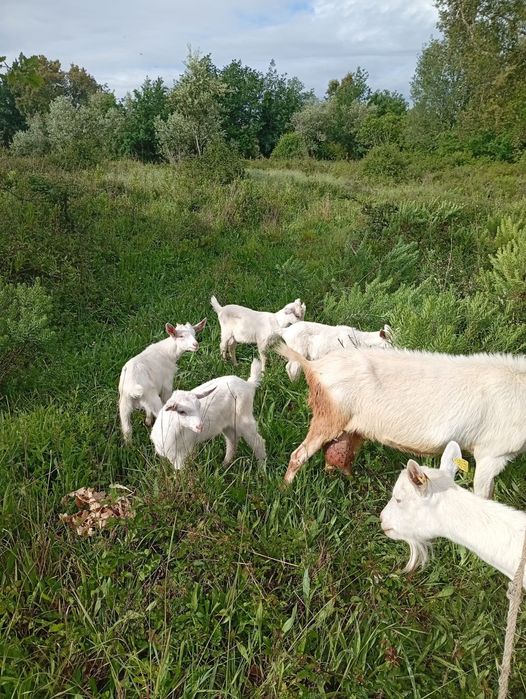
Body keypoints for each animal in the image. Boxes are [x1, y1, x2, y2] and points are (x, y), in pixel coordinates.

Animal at [276, 343, 526, 497]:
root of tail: (314, 367)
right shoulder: (492, 453)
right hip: (328, 417)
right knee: (298, 455)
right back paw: (284, 490)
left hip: (350, 429)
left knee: (338, 454)